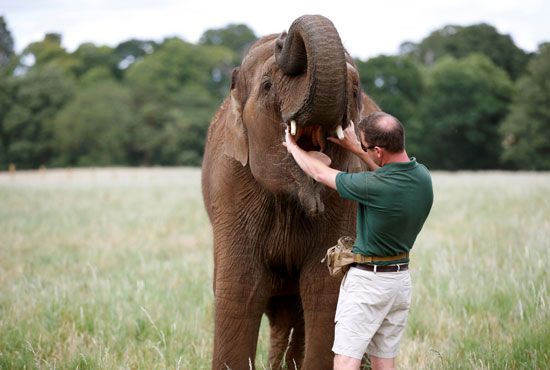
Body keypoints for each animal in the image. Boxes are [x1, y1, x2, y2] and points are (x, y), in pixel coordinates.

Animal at [202, 14, 380, 370]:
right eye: (268, 86)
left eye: (354, 90)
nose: (284, 38)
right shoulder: (229, 184)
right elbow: (240, 286)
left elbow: (325, 288)